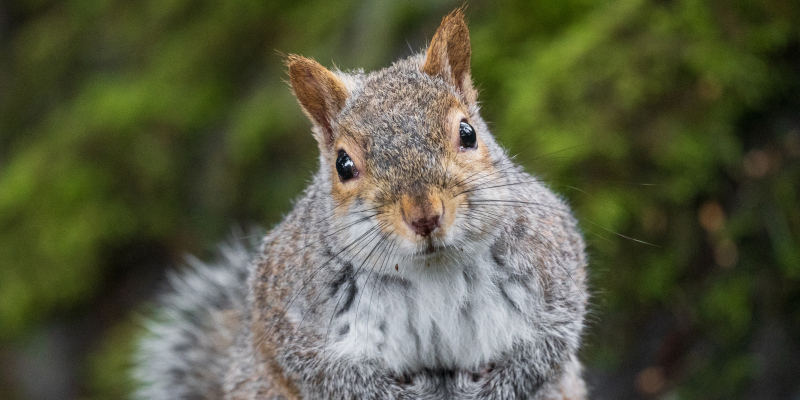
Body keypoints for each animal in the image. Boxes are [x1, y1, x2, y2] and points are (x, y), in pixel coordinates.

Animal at [134, 9, 588, 400]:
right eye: (343, 164)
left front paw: (495, 387)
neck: (432, 270)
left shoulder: (551, 263)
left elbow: (546, 348)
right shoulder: (287, 312)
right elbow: (327, 374)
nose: (425, 216)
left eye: (468, 132)